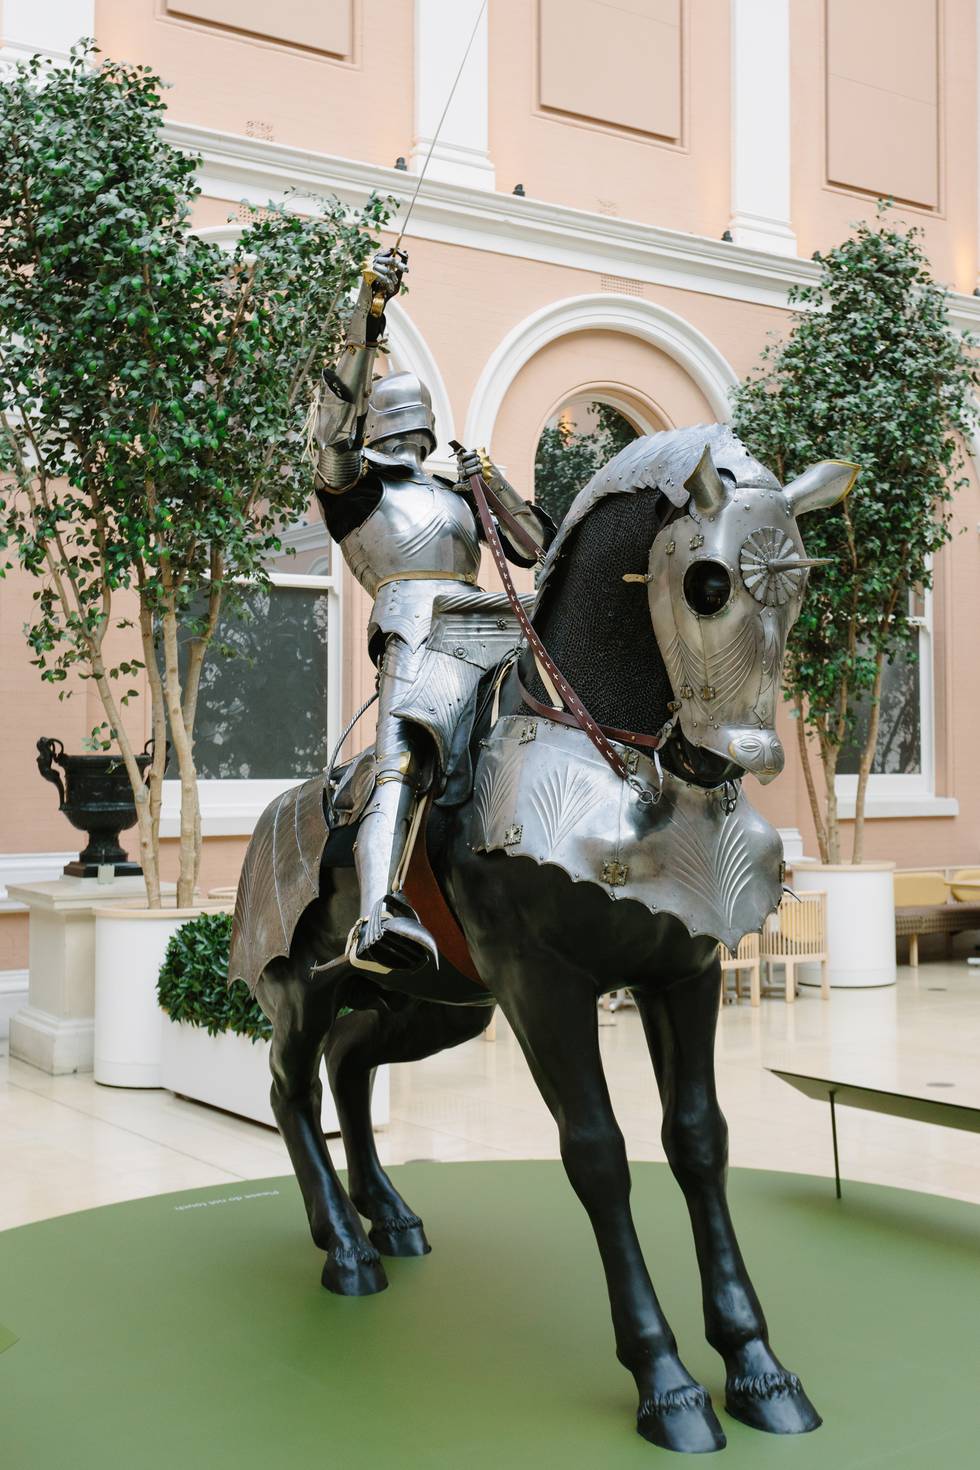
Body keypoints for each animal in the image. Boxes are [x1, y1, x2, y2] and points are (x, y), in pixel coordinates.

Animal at [230, 423, 858, 1446]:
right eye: (709, 583)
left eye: (799, 581)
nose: (745, 755)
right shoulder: (541, 983)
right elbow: (596, 1153)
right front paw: (667, 1385)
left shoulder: (682, 973)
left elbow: (700, 1141)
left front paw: (758, 1367)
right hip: (305, 986)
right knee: (293, 1089)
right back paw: (345, 1250)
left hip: (442, 1004)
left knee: (351, 1066)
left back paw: (388, 1219)